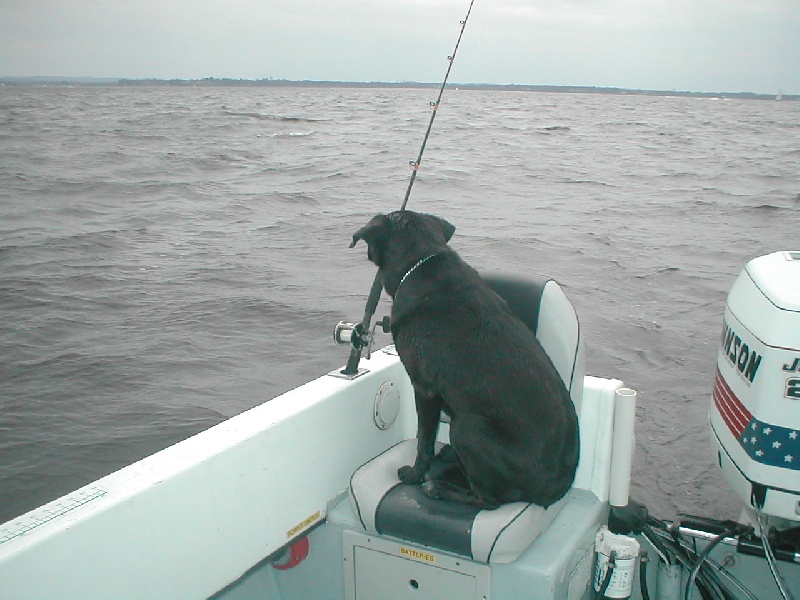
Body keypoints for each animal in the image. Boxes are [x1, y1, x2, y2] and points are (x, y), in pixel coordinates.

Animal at [354, 209, 580, 508]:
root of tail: (554, 491)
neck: (420, 263)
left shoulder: (424, 389)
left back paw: (438, 488)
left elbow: (423, 440)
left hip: (466, 425)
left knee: (489, 500)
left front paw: (414, 475)